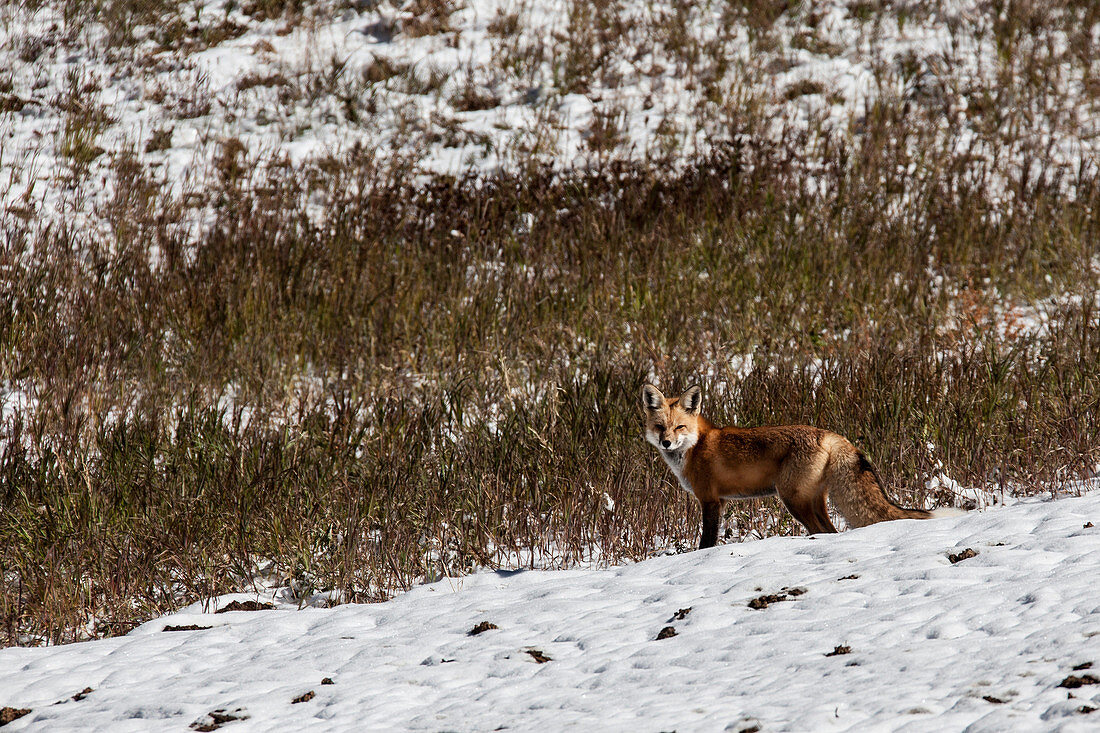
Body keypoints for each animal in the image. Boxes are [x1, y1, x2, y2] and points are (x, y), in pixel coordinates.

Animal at [642, 383, 959, 548]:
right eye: (660, 427)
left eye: (679, 427)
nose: (666, 443)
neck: (695, 445)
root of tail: (830, 434)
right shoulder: (719, 501)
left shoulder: (710, 500)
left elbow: (706, 542)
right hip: (813, 500)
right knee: (831, 531)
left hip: (793, 499)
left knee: (823, 531)